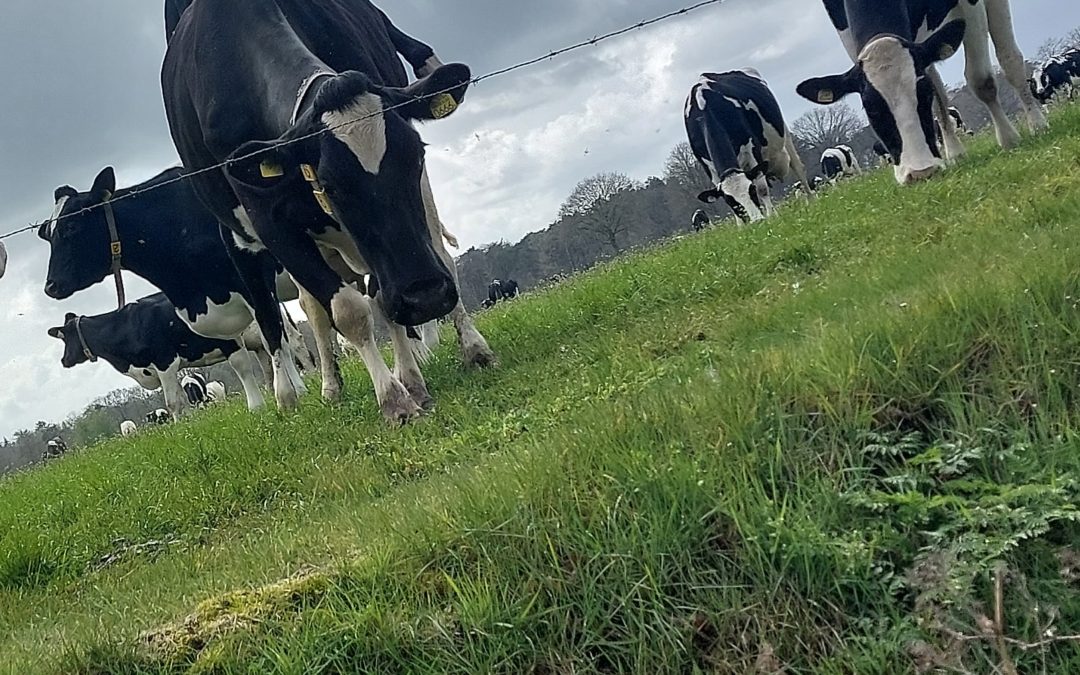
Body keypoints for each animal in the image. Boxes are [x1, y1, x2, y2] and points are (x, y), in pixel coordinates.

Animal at [47, 293, 262, 421]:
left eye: (64, 338)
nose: (64, 360)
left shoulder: (165, 362)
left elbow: (172, 402)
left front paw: (179, 427)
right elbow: (181, 399)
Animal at [163, 0, 494, 421]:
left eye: (417, 156)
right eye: (331, 182)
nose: (426, 298)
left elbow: (386, 296)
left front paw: (414, 381)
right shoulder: (267, 219)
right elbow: (346, 309)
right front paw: (394, 399)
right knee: (296, 312)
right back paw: (309, 391)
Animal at [682, 68, 812, 222]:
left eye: (752, 190)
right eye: (730, 200)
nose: (757, 220)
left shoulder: (752, 150)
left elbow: (762, 188)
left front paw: (771, 217)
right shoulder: (709, 168)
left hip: (784, 134)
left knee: (798, 168)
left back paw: (812, 199)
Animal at [799, 0, 1041, 184]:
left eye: (923, 94)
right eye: (870, 109)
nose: (920, 173)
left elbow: (981, 80)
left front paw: (1009, 139)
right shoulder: (843, 25)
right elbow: (938, 96)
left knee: (1009, 57)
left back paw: (1037, 124)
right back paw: (955, 153)